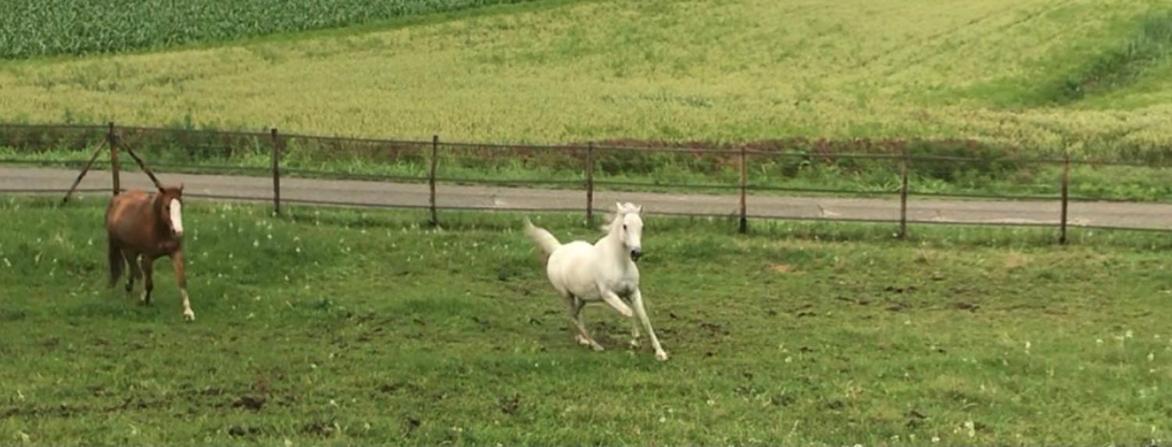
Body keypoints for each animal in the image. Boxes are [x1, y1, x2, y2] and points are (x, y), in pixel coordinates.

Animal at [108, 184, 195, 321]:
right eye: (167, 207)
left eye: (181, 205)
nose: (178, 232)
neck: (159, 229)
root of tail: (117, 199)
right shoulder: (148, 257)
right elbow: (149, 283)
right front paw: (145, 300)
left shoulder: (176, 253)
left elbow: (182, 281)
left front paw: (188, 312)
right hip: (127, 249)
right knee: (136, 270)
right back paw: (138, 292)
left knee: (135, 267)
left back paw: (130, 286)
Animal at [525, 200, 670, 359]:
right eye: (625, 226)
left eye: (642, 226)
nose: (636, 253)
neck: (619, 262)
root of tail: (557, 249)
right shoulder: (608, 295)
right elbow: (629, 312)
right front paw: (635, 340)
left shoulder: (633, 292)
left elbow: (644, 319)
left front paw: (660, 353)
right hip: (566, 295)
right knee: (573, 316)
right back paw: (595, 345)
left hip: (581, 298)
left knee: (577, 316)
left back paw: (582, 340)